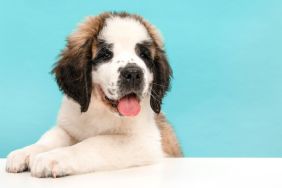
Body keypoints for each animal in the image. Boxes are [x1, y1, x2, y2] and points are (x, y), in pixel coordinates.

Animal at [7, 11, 183, 178]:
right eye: (106, 54)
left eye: (144, 55)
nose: (133, 73)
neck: (100, 109)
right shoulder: (68, 125)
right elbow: (52, 136)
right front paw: (26, 152)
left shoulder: (146, 141)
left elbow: (94, 143)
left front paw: (53, 157)